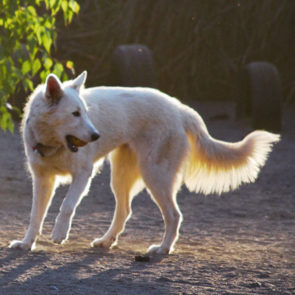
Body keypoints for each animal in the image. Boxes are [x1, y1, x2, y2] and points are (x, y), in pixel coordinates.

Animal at [10, 71, 280, 254]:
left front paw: (59, 234)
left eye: (85, 112)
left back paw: (162, 249)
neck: (51, 142)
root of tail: (180, 109)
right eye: (75, 114)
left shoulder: (83, 175)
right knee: (125, 211)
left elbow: (67, 206)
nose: (97, 135)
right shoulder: (42, 181)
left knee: (174, 215)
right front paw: (26, 244)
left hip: (155, 177)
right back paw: (106, 241)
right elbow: (35, 216)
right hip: (121, 177)